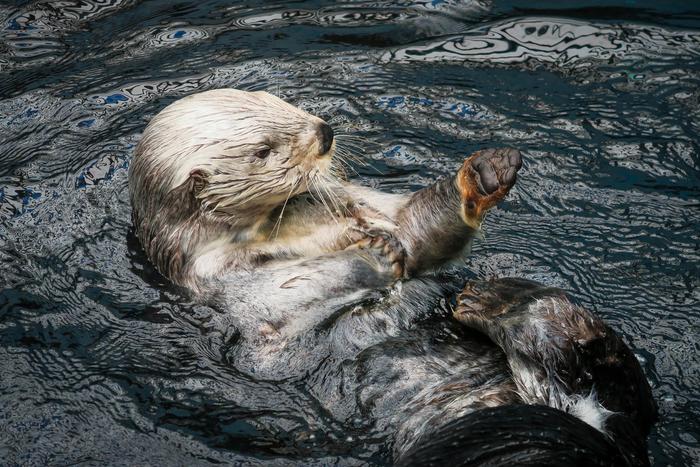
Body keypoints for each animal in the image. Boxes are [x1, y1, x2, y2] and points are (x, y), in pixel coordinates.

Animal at [129, 89, 656, 465]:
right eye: (263, 150)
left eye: (282, 103)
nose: (324, 131)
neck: (284, 224)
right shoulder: (227, 283)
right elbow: (303, 285)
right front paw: (376, 250)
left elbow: (413, 232)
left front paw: (483, 173)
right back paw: (494, 302)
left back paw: (504, 302)